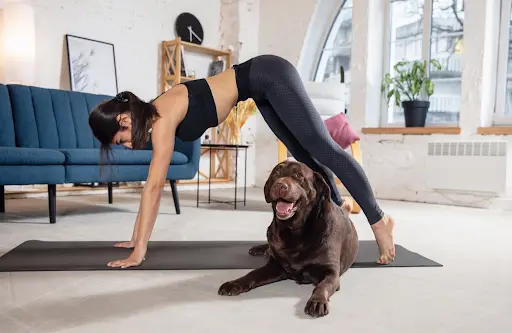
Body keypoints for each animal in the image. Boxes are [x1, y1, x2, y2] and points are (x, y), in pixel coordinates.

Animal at [218, 160, 358, 318]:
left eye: (299, 176)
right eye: (276, 174)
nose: (280, 185)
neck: (294, 230)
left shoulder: (331, 273)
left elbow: (322, 286)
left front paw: (317, 301)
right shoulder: (274, 266)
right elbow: (252, 274)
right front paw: (235, 283)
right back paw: (260, 249)